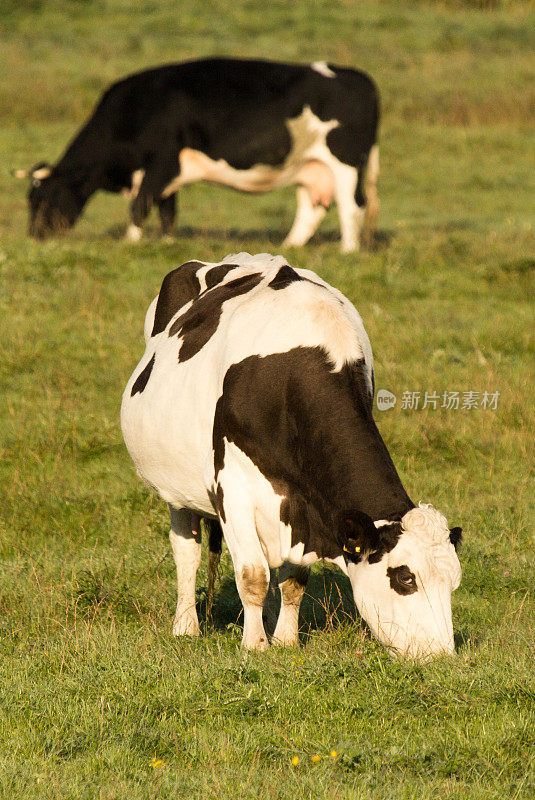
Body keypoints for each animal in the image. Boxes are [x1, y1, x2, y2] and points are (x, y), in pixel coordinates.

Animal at [13, 58, 382, 252]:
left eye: (42, 199)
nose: (35, 237)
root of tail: (357, 75)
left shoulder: (161, 161)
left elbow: (140, 205)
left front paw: (131, 243)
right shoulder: (165, 175)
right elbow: (167, 210)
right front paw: (166, 242)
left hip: (346, 162)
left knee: (352, 206)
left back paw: (347, 251)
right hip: (309, 166)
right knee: (310, 209)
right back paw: (287, 248)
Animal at [120, 252, 460, 656]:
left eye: (454, 582)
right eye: (405, 578)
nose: (439, 655)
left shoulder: (307, 506)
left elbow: (294, 578)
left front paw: (284, 640)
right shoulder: (231, 484)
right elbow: (251, 574)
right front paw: (254, 646)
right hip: (175, 486)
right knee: (187, 550)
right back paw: (186, 626)